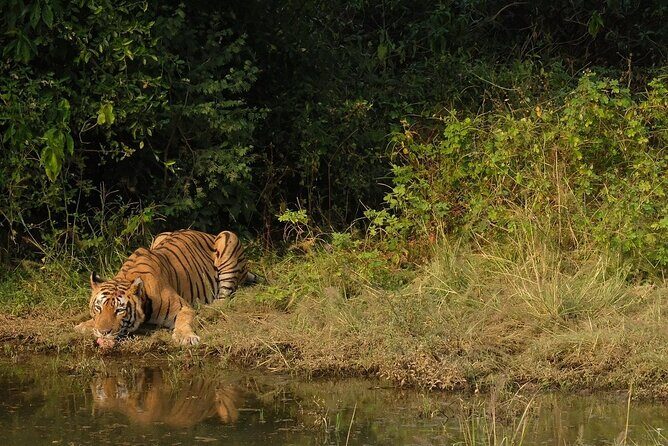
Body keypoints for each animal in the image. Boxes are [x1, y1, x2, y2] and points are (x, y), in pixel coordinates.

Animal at [75, 229, 258, 346]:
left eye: (119, 310)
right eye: (98, 308)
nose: (103, 332)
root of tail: (207, 233)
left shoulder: (183, 307)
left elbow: (183, 322)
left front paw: (186, 338)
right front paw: (84, 325)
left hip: (228, 238)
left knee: (224, 298)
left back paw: (208, 307)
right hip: (159, 236)